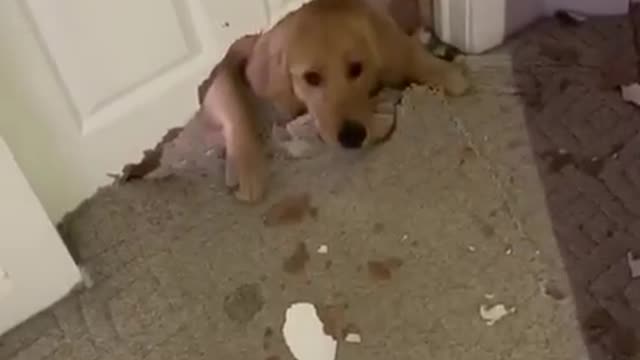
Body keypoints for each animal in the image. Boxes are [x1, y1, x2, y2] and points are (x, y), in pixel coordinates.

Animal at [202, 0, 468, 202]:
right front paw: (246, 167)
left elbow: (405, 51)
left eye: (356, 68)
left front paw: (445, 72)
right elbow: (233, 103)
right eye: (311, 78)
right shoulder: (225, 66)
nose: (352, 136)